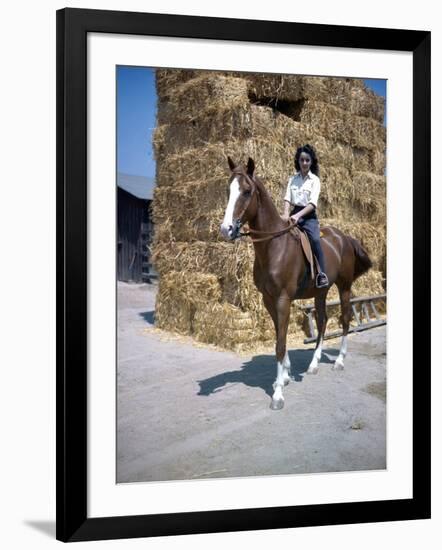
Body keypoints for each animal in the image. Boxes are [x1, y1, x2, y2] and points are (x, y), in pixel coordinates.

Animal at [219, 157, 372, 412]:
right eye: (228, 190)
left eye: (247, 191)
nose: (226, 229)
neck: (274, 246)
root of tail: (344, 237)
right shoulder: (269, 299)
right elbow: (279, 336)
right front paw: (285, 376)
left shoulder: (283, 299)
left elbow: (280, 344)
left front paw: (278, 394)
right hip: (321, 292)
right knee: (322, 321)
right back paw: (314, 364)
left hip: (344, 287)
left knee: (344, 319)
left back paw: (339, 361)